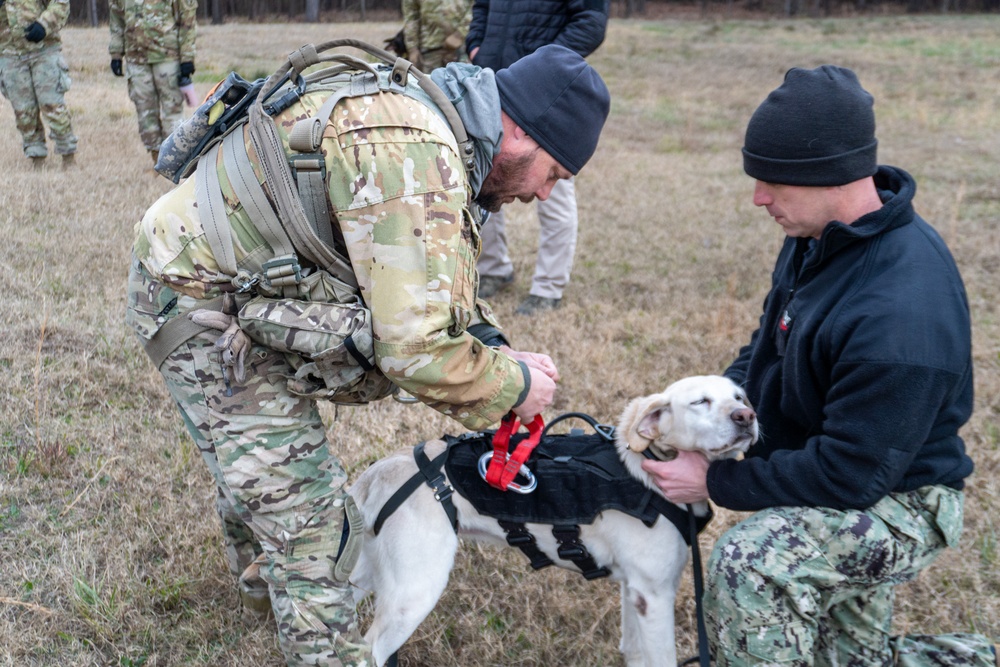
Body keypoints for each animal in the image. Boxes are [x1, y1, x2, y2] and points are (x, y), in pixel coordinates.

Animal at [348, 376, 752, 667]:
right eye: (700, 402)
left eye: (740, 397)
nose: (747, 418)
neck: (649, 466)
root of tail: (379, 471)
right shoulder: (653, 596)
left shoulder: (634, 591)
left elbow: (635, 654)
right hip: (414, 592)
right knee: (367, 653)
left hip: (364, 574)